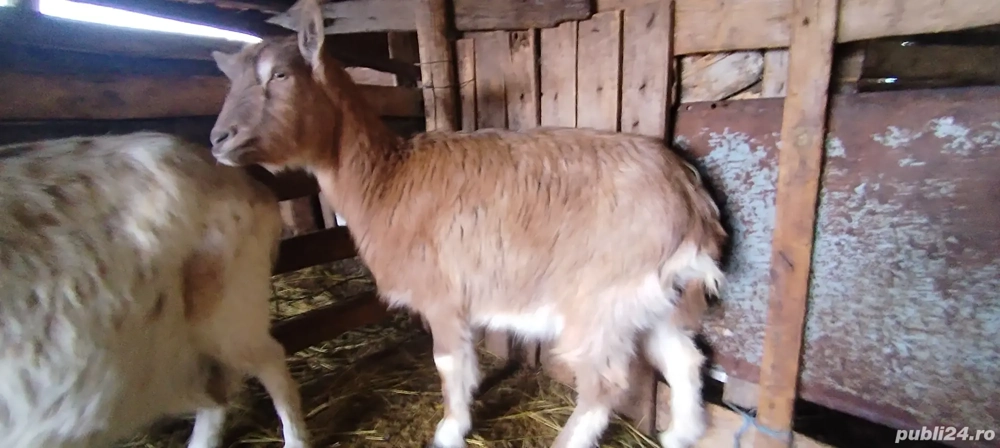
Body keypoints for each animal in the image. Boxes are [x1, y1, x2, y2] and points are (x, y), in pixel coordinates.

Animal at [209, 1, 726, 447]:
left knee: (604, 383)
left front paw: (450, 430)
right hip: (650, 299)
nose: (218, 138)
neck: (387, 180)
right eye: (232, 82)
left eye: (280, 74)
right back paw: (680, 434)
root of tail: (690, 196)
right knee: (685, 359)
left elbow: (449, 365)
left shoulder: (442, 296)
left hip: (600, 299)